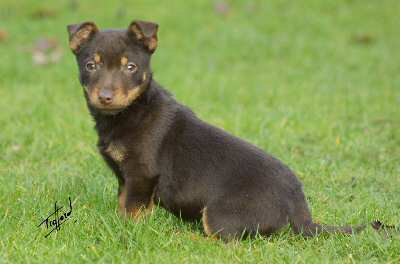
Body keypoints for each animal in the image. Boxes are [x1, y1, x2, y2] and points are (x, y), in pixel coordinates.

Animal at [68, 19, 388, 240]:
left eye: (131, 67)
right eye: (91, 65)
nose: (105, 97)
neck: (128, 113)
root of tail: (300, 208)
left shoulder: (142, 175)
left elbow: (132, 211)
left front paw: (128, 232)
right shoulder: (126, 177)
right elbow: (123, 205)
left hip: (220, 213)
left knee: (227, 241)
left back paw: (187, 236)